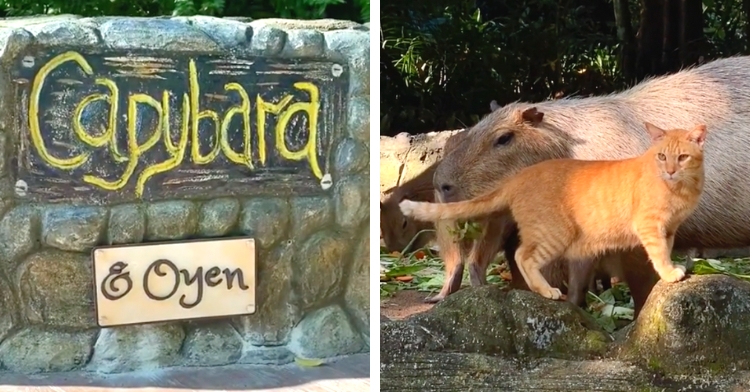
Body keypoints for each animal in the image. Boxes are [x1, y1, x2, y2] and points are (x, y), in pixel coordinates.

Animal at [402, 122, 708, 300]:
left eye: (682, 157)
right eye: (661, 156)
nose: (670, 170)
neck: (680, 187)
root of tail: (518, 177)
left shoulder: (669, 228)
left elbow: (665, 250)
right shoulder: (650, 226)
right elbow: (658, 254)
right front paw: (670, 273)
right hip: (555, 233)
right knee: (521, 257)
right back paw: (548, 291)